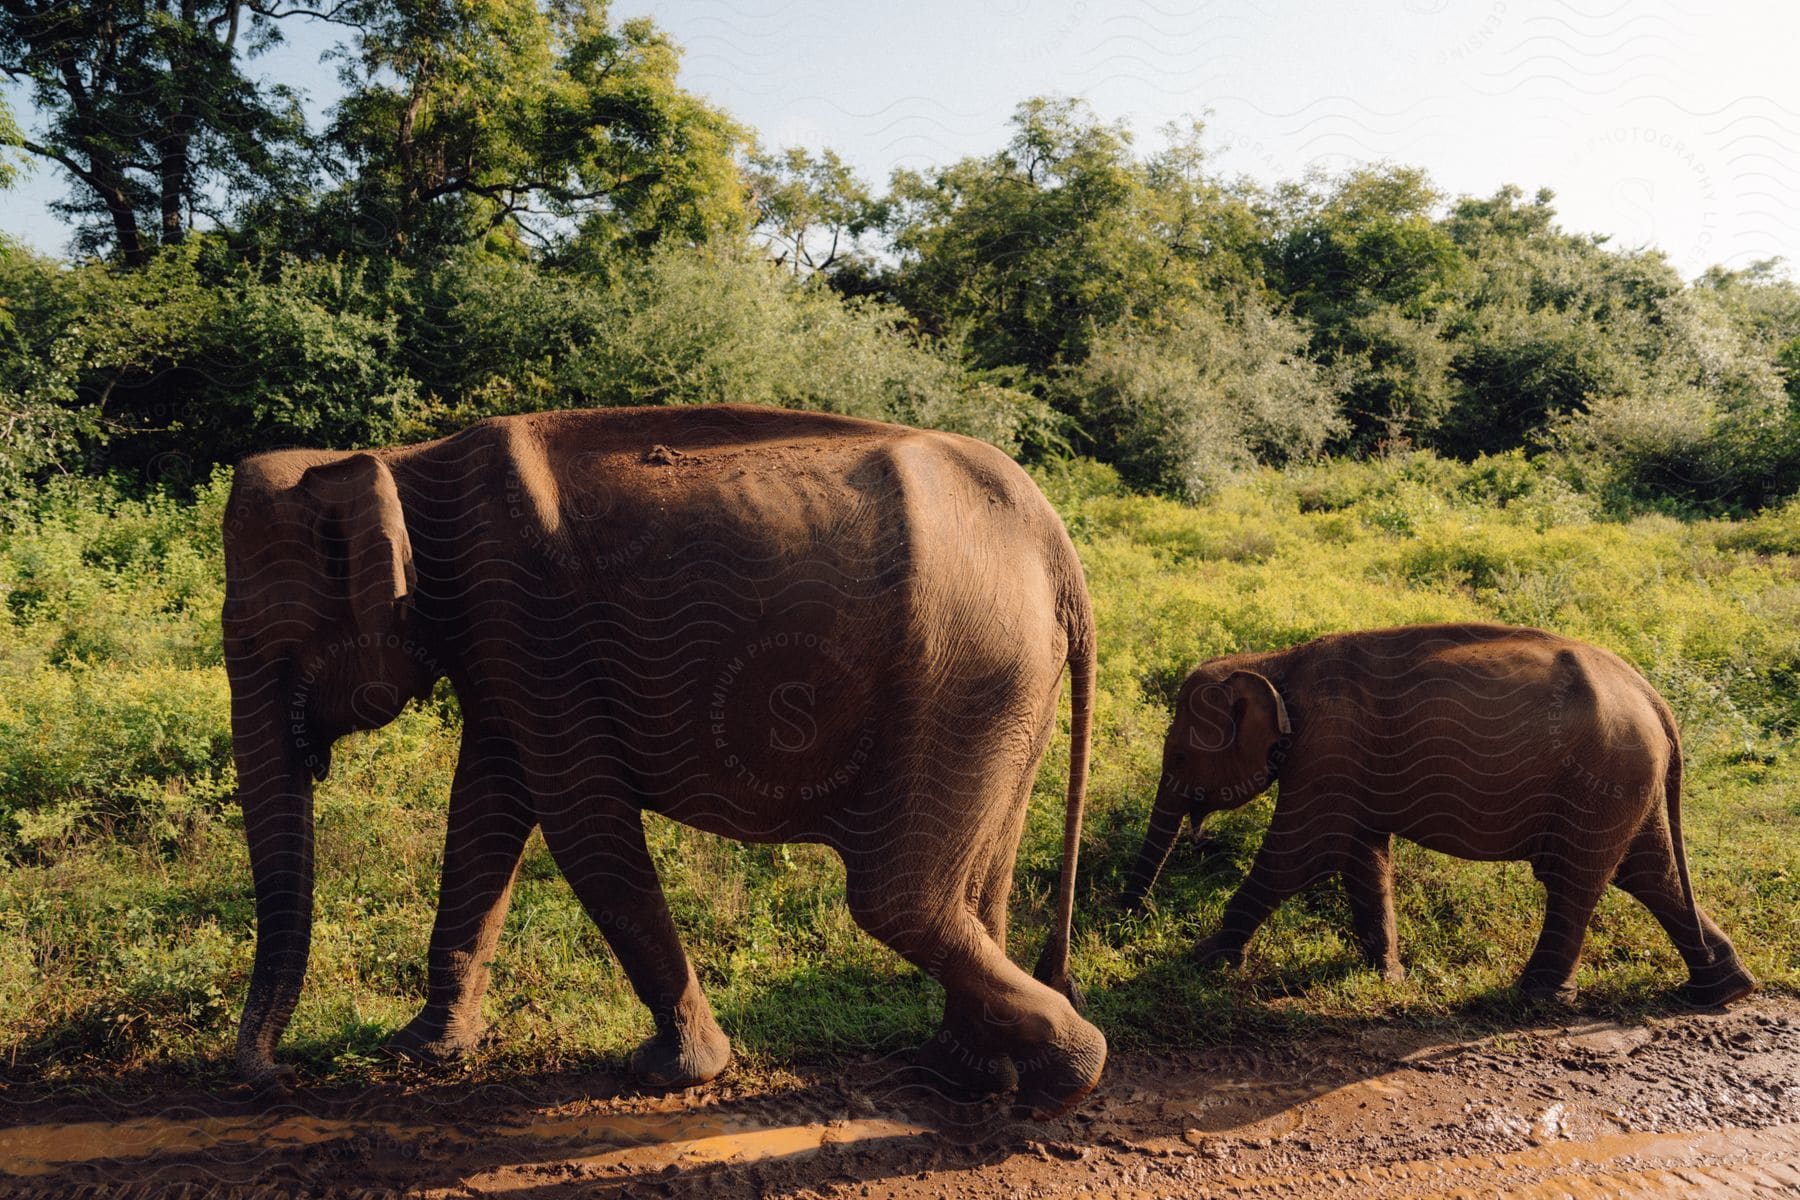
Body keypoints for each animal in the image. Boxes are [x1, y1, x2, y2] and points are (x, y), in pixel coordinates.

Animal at [217, 402, 1101, 1115]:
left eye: (271, 643)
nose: (279, 1080)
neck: (400, 461)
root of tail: (1058, 544)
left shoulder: (525, 617)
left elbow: (579, 818)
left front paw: (671, 1075)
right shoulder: (501, 644)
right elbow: (487, 808)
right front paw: (422, 1052)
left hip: (966, 674)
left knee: (899, 899)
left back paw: (1064, 1080)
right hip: (1011, 690)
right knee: (970, 889)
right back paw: (965, 1081)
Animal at [1130, 626, 1749, 1007]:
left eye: (1179, 757)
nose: (1133, 919)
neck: (1273, 661)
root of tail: (1653, 697)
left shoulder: (1327, 751)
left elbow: (1300, 854)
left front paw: (1201, 962)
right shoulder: (1347, 768)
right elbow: (1363, 857)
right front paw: (1386, 975)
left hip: (1605, 776)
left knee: (1576, 880)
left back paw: (1535, 1000)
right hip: (1625, 780)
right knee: (1648, 873)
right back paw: (1722, 992)